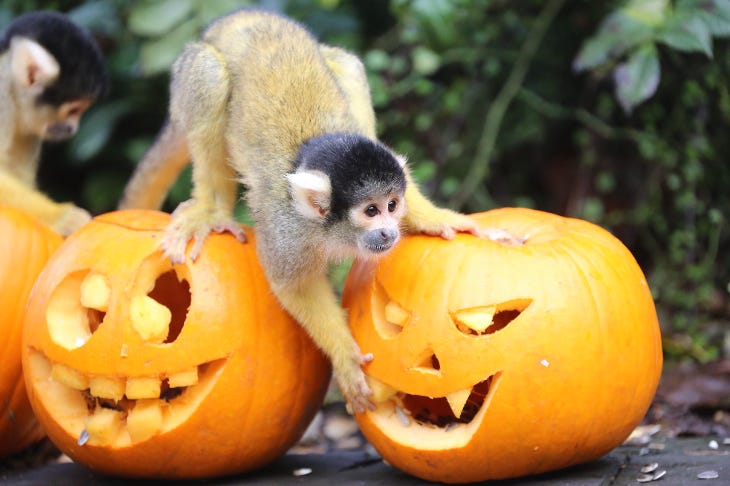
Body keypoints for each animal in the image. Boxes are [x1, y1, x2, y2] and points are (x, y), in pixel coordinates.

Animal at [121, 8, 490, 414]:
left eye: (393, 205)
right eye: (371, 211)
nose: (390, 231)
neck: (326, 229)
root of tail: (234, 18)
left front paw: (434, 217)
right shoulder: (286, 230)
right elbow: (292, 284)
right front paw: (344, 357)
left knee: (346, 65)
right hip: (188, 72)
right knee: (209, 73)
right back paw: (211, 209)